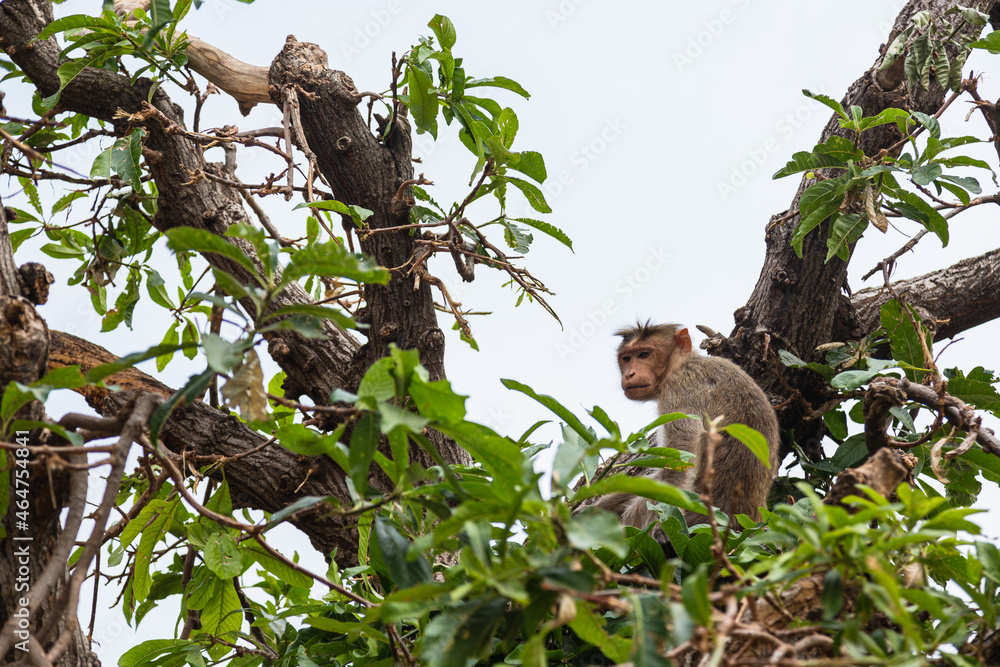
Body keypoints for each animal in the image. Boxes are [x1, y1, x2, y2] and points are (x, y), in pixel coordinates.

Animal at [593, 322, 780, 534]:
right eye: (626, 358)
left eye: (644, 354)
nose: (629, 373)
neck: (680, 364)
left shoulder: (679, 387)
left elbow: (682, 449)